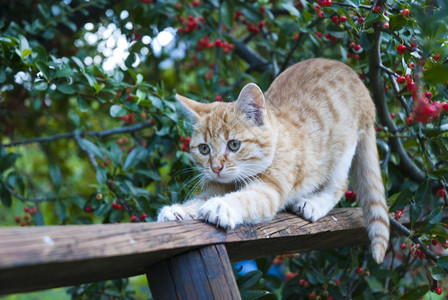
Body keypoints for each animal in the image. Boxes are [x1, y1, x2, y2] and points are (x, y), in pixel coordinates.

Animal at [158, 58, 388, 262]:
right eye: (204, 149)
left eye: (234, 144)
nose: (216, 168)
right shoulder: (215, 187)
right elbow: (198, 201)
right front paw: (179, 211)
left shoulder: (270, 189)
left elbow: (246, 198)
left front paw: (221, 206)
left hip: (344, 149)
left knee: (340, 184)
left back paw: (314, 204)